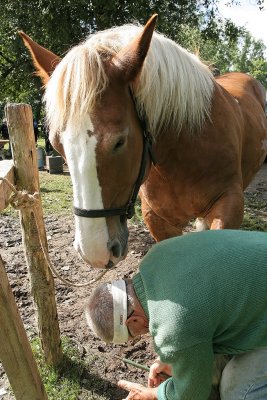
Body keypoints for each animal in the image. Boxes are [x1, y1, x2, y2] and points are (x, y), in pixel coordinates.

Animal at [18, 16, 267, 268]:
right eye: (56, 143)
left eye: (119, 142)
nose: (95, 251)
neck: (183, 155)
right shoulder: (158, 219)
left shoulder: (229, 205)